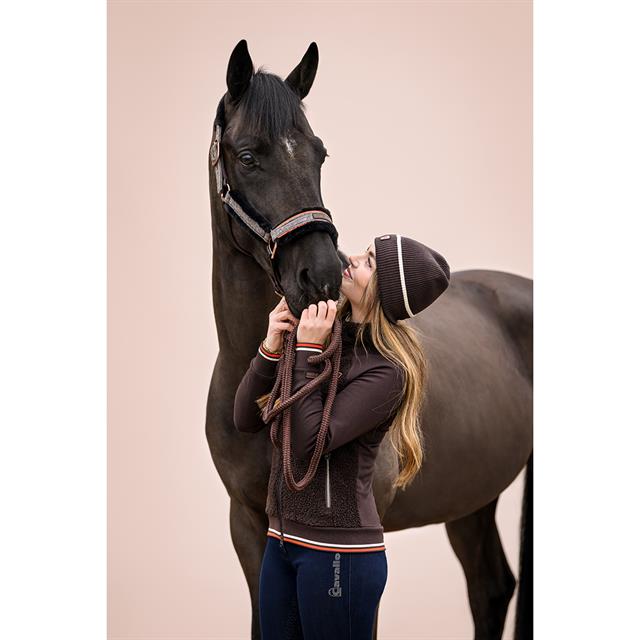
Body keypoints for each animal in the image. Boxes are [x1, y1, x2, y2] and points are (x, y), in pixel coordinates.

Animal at [205, 40, 533, 640]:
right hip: (471, 497)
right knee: (491, 586)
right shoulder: (247, 523)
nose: (321, 275)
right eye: (247, 155)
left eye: (320, 154)